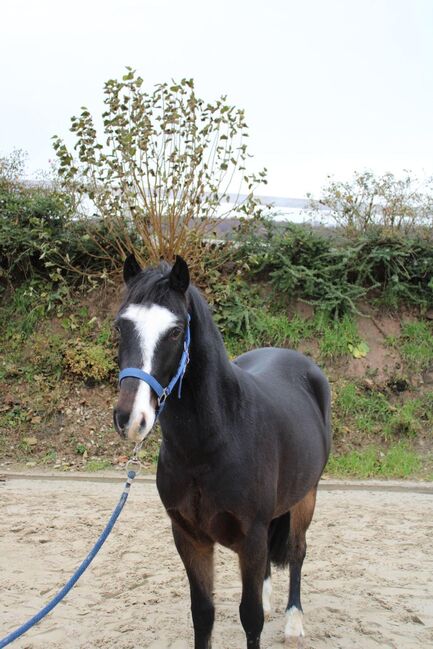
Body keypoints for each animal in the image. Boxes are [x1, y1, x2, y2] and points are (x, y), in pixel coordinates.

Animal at [112, 254, 330, 648]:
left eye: (175, 331)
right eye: (121, 326)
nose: (130, 419)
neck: (213, 442)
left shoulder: (252, 537)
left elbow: (250, 618)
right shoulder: (189, 537)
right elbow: (203, 614)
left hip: (306, 496)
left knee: (297, 552)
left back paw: (293, 621)